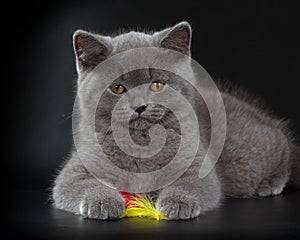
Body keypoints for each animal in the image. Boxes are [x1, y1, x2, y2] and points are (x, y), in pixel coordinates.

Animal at [52, 22, 298, 219]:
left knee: (283, 145)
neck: (142, 144)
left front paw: (178, 203)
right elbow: (75, 185)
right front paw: (103, 202)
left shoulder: (198, 164)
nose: (140, 106)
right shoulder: (77, 168)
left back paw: (271, 183)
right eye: (118, 88)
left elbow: (191, 183)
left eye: (157, 85)